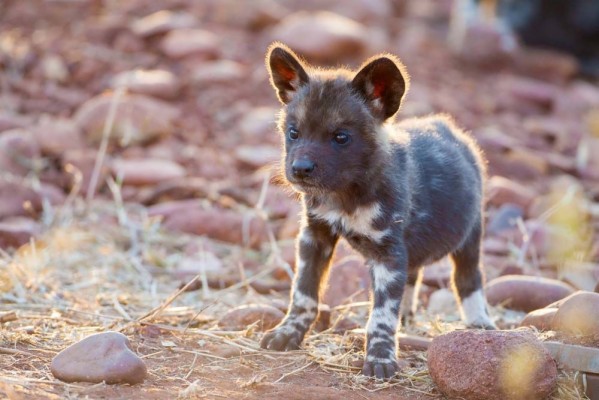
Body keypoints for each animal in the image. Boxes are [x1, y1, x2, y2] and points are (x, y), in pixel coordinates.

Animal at [260, 42, 500, 380]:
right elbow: (303, 295)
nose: (300, 169)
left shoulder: (388, 254)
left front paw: (380, 358)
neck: (345, 195)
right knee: (414, 275)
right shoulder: (315, 237)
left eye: (341, 137)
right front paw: (288, 333)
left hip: (469, 238)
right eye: (293, 132)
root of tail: (449, 127)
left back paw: (480, 323)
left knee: (467, 279)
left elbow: (382, 315)